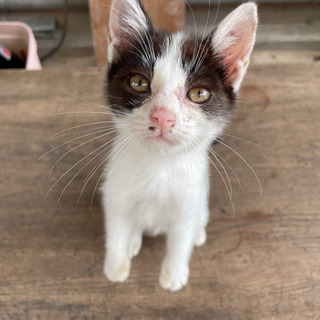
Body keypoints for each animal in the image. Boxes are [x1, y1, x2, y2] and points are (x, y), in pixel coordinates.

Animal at [102, 0, 258, 292]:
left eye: (198, 93)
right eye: (138, 82)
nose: (163, 116)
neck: (159, 166)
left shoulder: (190, 199)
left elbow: (180, 238)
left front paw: (173, 274)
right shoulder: (115, 192)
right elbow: (117, 226)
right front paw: (115, 266)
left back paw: (198, 234)